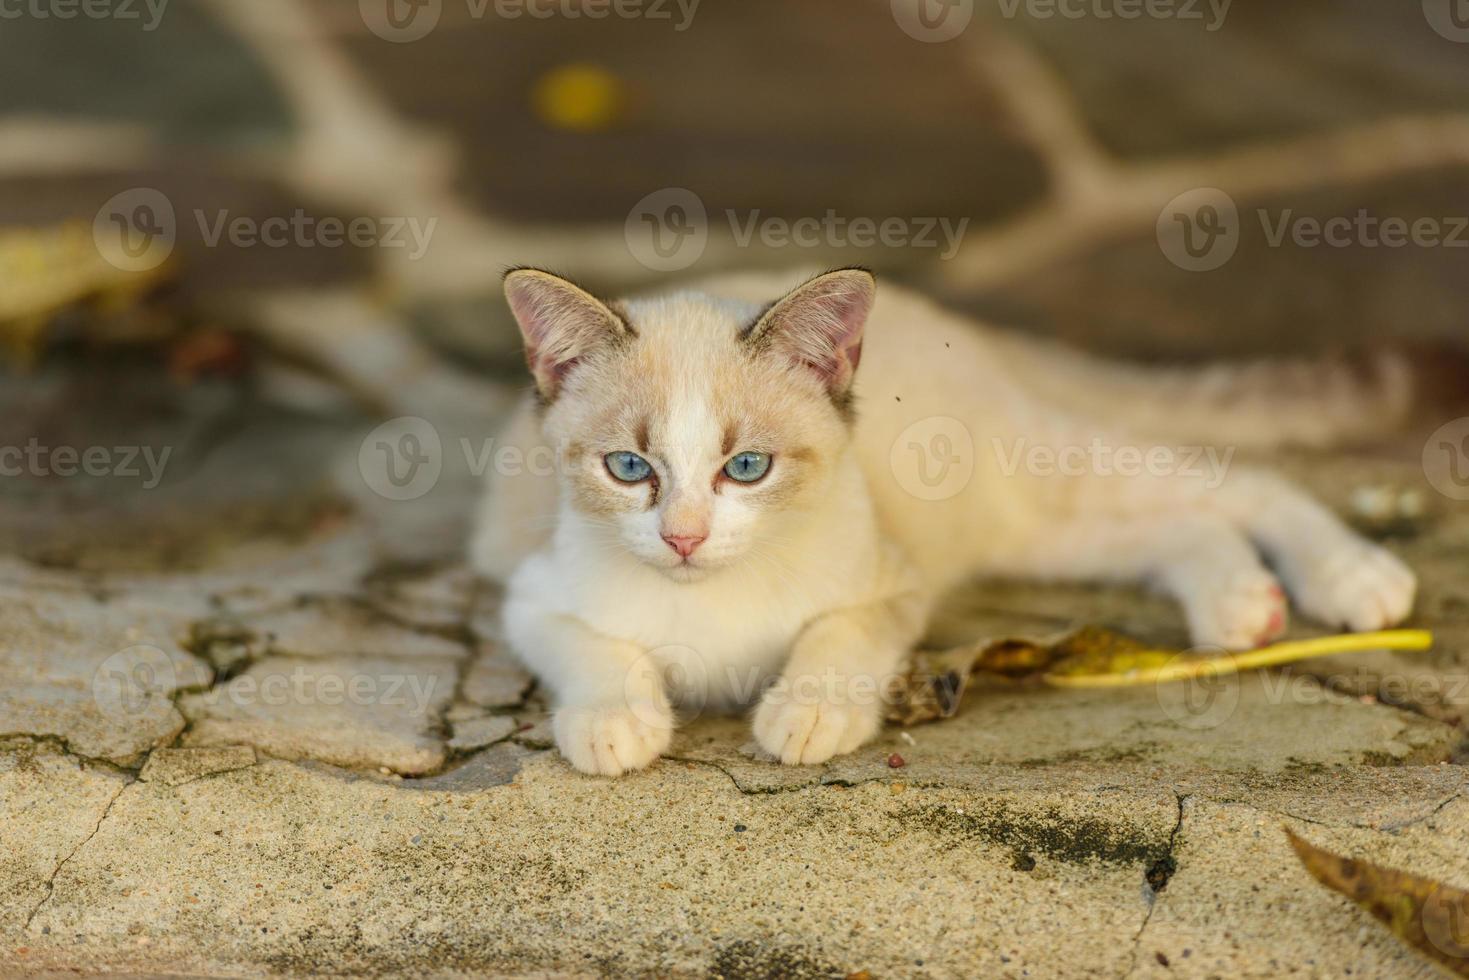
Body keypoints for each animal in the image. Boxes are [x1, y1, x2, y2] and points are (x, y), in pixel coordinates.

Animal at [470, 265, 1410, 775]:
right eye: (629, 469)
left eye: (746, 469)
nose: (684, 538)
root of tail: (972, 328)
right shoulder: (525, 591)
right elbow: (593, 649)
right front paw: (611, 721)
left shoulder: (891, 583)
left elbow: (838, 637)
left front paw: (808, 713)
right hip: (1032, 530)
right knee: (1179, 526)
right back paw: (1238, 605)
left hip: (1040, 470)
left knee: (1242, 482)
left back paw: (1351, 577)